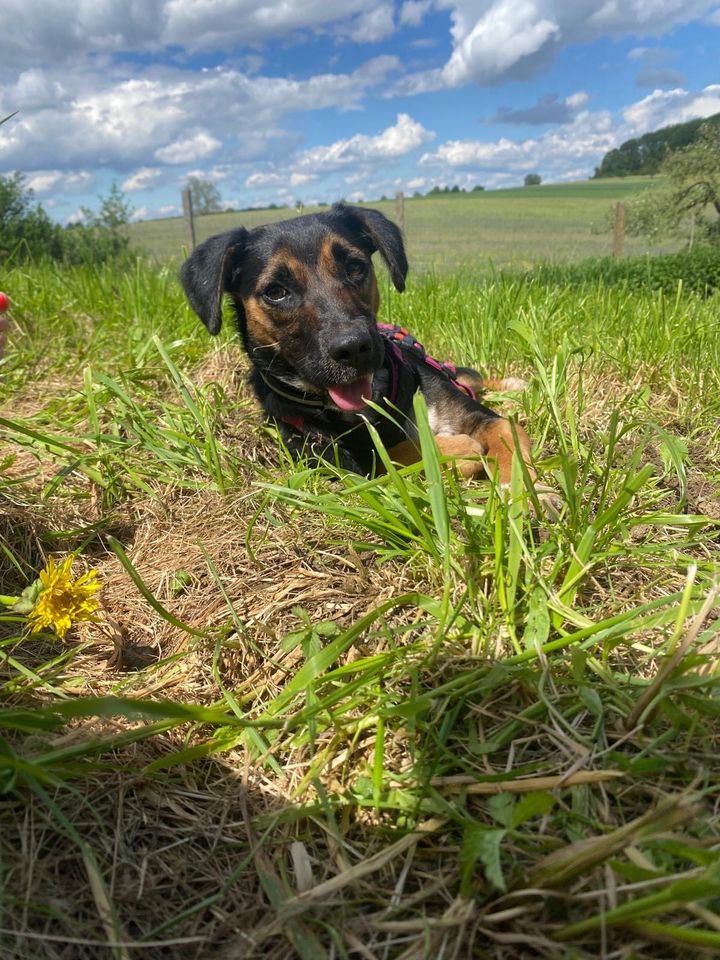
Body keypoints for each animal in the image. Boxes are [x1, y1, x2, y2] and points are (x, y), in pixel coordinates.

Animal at [180, 200, 552, 506]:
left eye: (355, 267)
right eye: (275, 291)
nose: (353, 348)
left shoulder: (481, 417)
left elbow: (505, 431)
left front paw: (525, 494)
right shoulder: (333, 459)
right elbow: (394, 453)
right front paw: (456, 450)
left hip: (453, 374)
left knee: (473, 378)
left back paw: (513, 385)